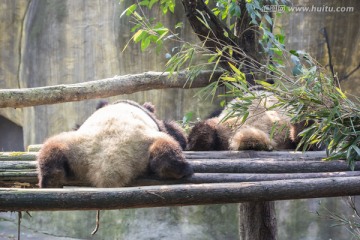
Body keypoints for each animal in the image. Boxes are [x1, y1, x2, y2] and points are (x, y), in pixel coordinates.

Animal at [37, 99, 193, 188]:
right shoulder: (157, 123)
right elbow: (175, 132)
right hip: (145, 143)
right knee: (166, 147)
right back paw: (181, 169)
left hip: (74, 146)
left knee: (51, 148)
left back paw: (50, 178)